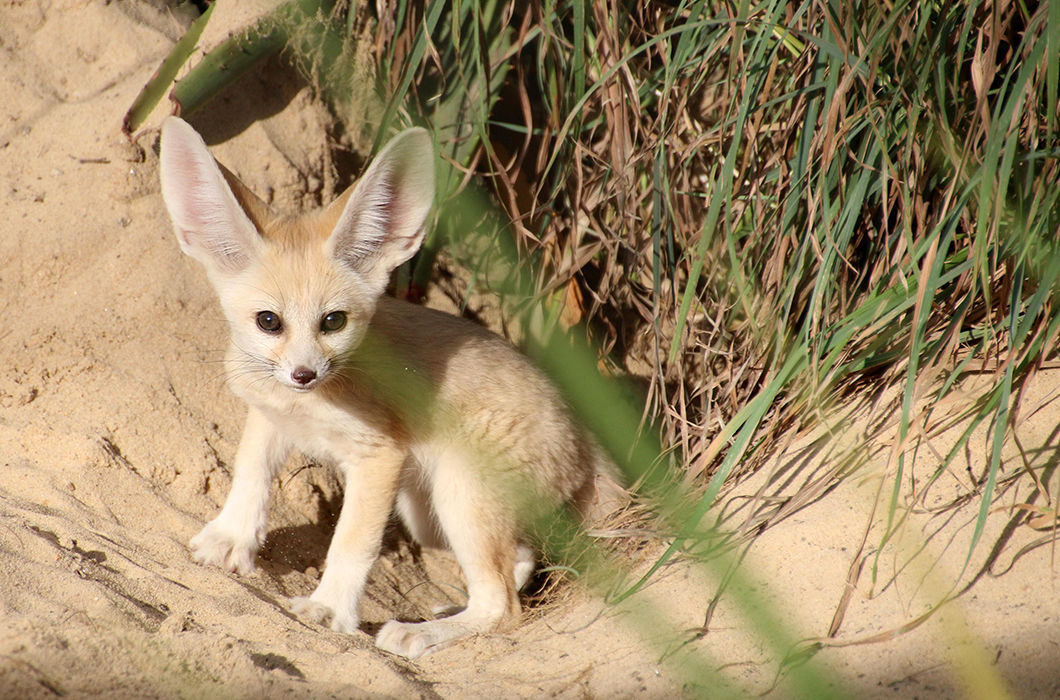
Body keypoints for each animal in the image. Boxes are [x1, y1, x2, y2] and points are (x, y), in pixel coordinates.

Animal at [157, 117, 619, 657]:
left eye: (333, 321)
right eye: (268, 321)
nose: (304, 374)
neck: (308, 404)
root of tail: (583, 437)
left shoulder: (380, 456)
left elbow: (352, 542)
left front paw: (330, 607)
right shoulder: (270, 415)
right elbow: (250, 474)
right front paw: (232, 538)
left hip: (457, 497)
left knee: (503, 607)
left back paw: (423, 633)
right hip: (428, 515)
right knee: (519, 561)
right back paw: (449, 610)